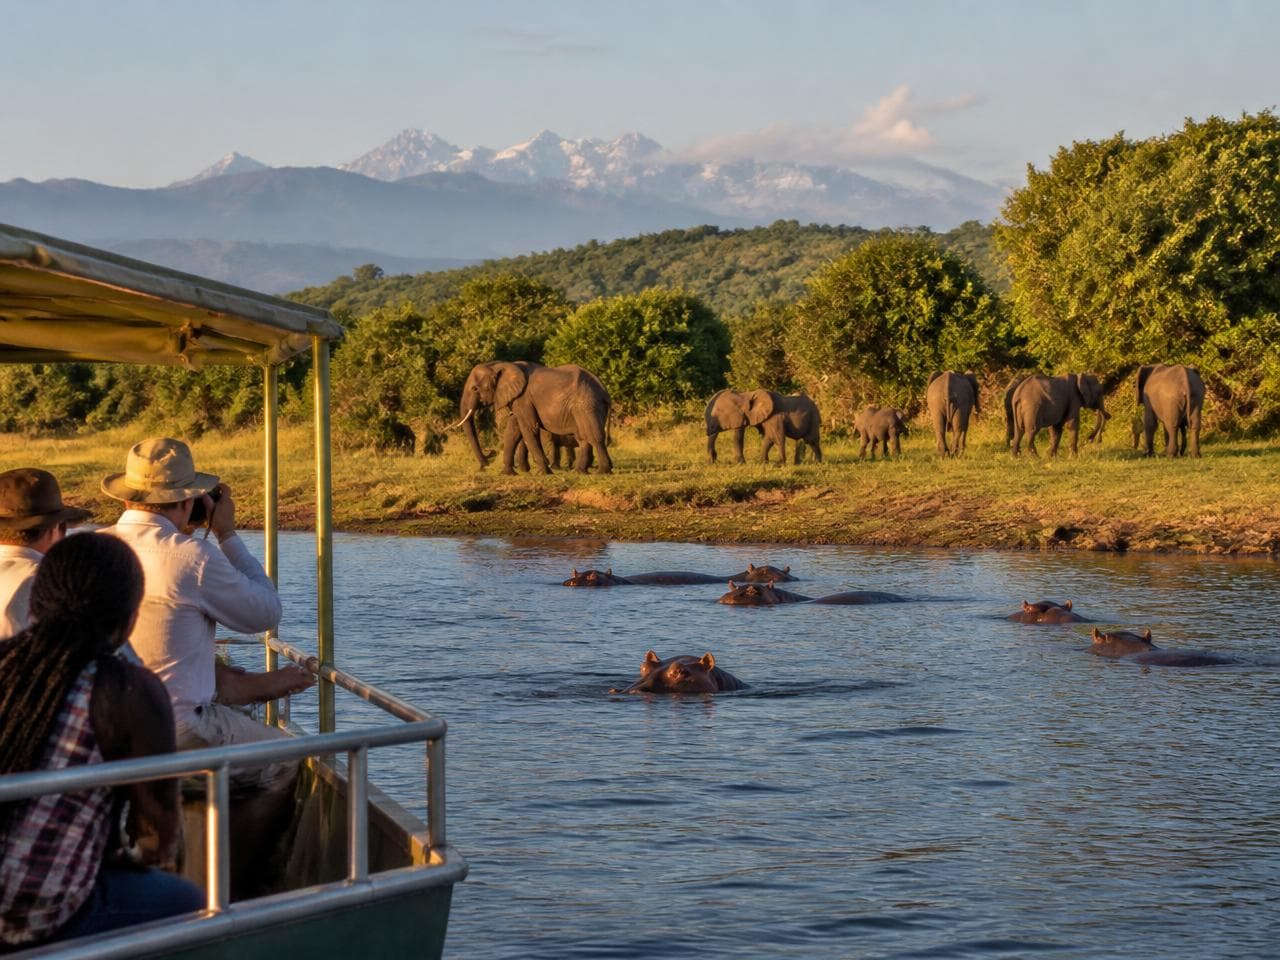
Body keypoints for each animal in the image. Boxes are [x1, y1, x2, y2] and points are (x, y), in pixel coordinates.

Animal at [455, 361, 612, 474]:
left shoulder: (523, 398)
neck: (500, 365)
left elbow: (529, 428)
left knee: (594, 436)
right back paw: (580, 472)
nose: (486, 463)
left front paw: (543, 472)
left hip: (587, 404)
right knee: (583, 437)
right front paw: (507, 473)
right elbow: (513, 430)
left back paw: (602, 472)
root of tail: (604, 390)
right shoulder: (517, 399)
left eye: (475, 389)